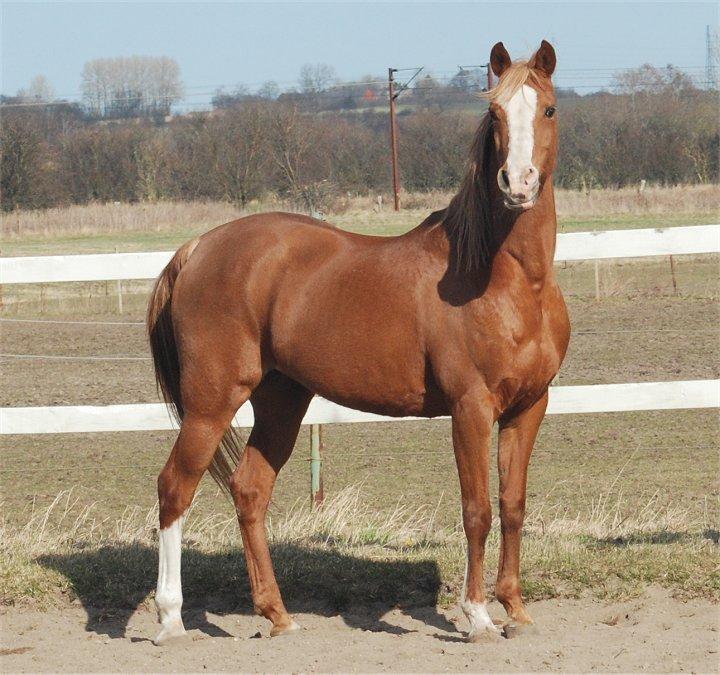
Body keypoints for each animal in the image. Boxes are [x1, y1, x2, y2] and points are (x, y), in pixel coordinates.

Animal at [148, 41, 568, 644]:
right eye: (494, 115)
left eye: (549, 110)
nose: (518, 183)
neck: (507, 279)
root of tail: (199, 247)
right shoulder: (471, 408)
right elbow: (477, 509)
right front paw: (478, 616)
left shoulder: (529, 406)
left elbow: (512, 504)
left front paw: (515, 607)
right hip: (211, 402)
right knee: (174, 489)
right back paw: (170, 617)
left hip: (281, 400)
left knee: (249, 490)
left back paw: (278, 615)